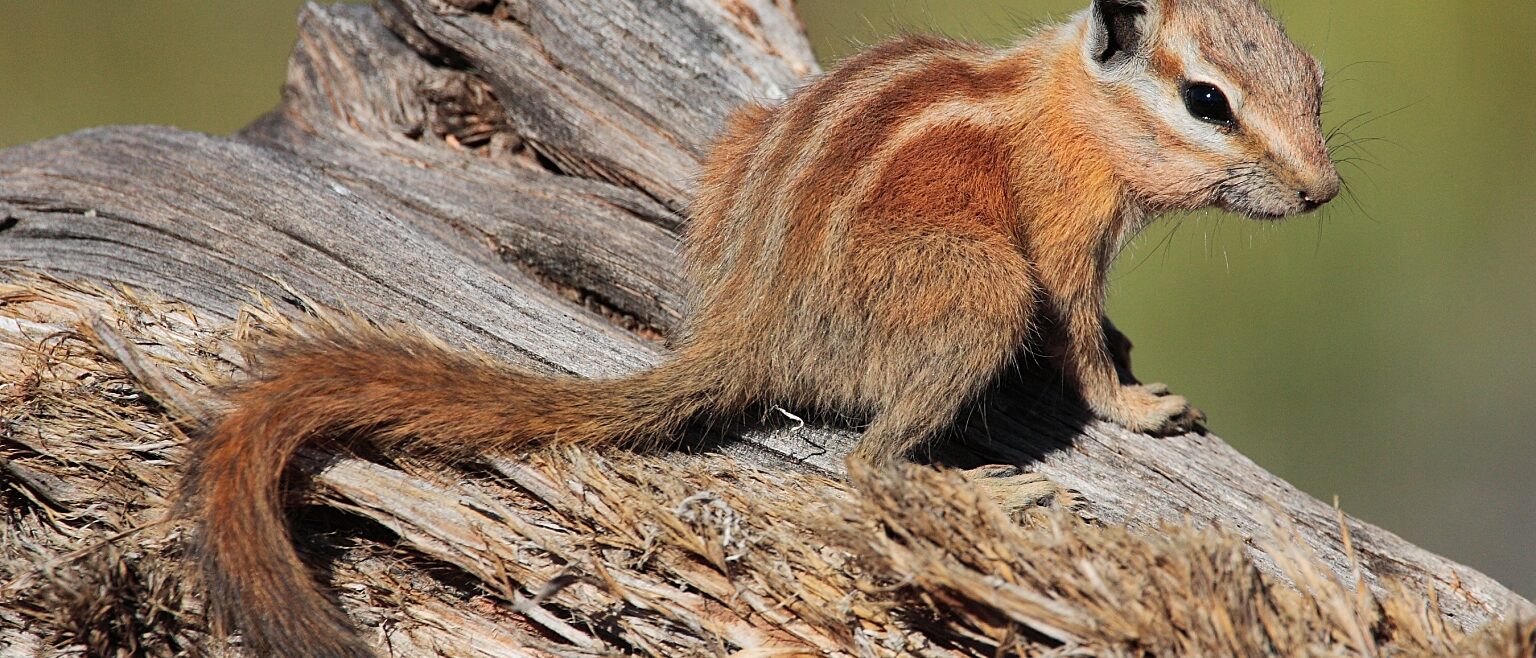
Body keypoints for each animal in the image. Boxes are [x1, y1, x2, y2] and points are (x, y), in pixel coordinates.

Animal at [182, 0, 1339, 656]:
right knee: (871, 465)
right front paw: (1139, 405)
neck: (1070, 103)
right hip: (979, 293)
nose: (1325, 192)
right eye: (1207, 101)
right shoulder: (1060, 234)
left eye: (1317, 80)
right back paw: (988, 492)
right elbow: (1082, 345)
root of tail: (752, 323)